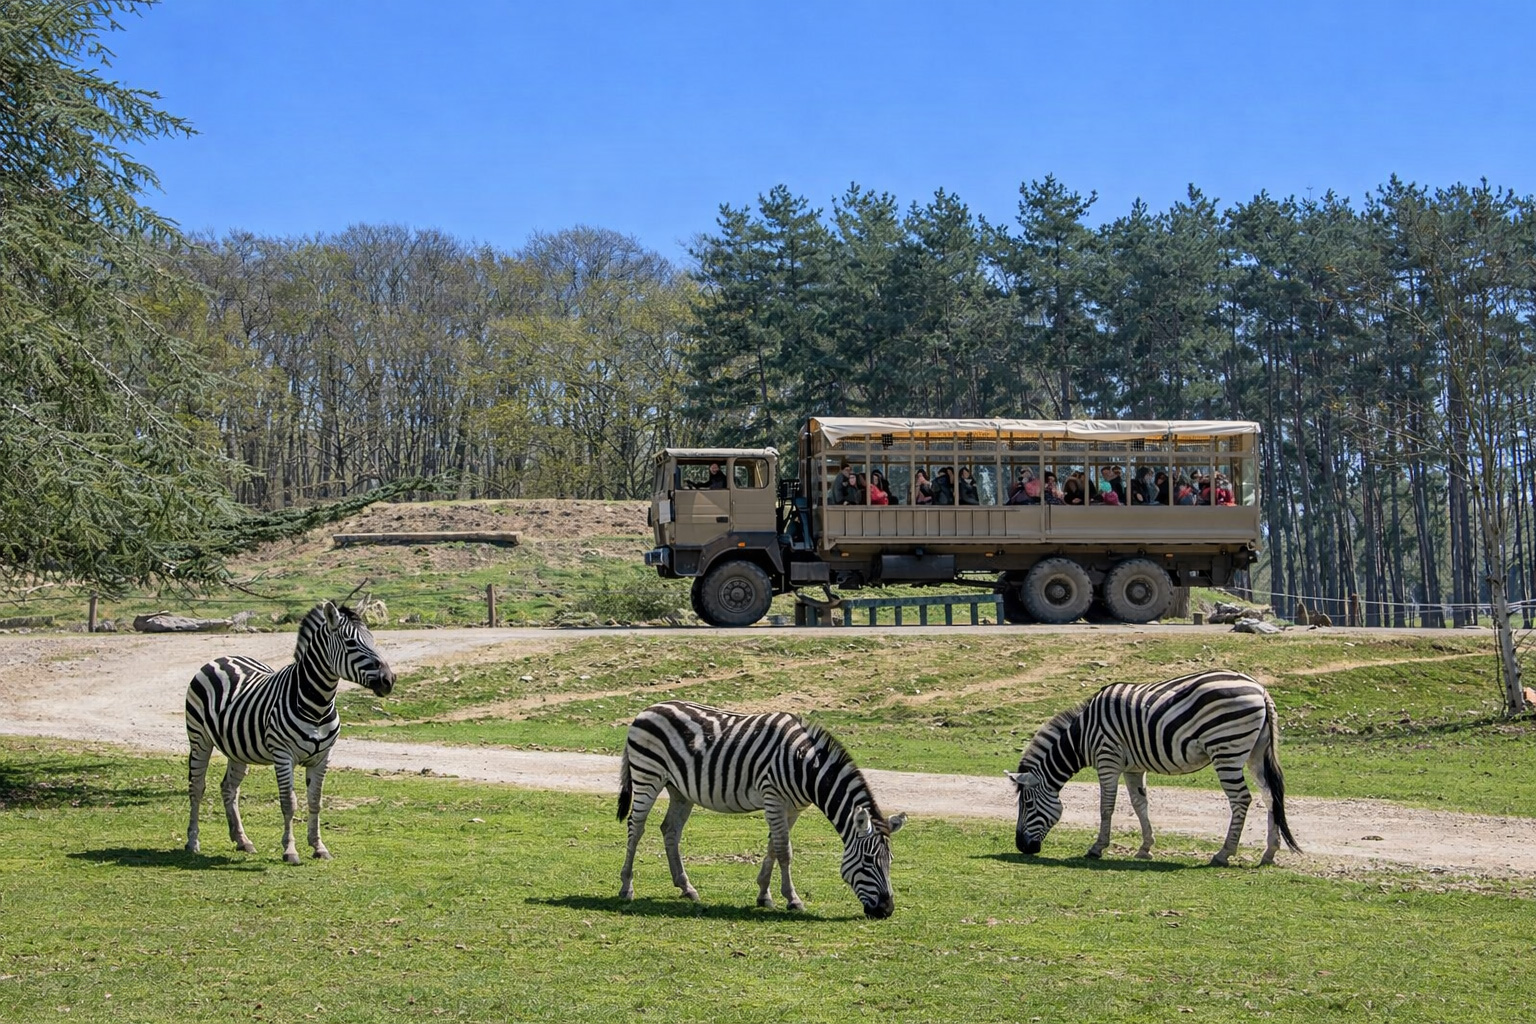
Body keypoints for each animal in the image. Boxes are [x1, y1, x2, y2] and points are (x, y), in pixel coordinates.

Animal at [184, 601, 395, 864]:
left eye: (373, 639)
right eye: (350, 643)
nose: (389, 680)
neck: (318, 705)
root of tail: (223, 658)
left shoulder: (323, 757)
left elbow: (315, 800)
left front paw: (319, 847)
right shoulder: (283, 755)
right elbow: (289, 803)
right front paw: (290, 850)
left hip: (238, 747)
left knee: (229, 788)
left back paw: (243, 840)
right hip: (199, 739)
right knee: (197, 787)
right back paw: (193, 842)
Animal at [617, 700, 907, 918]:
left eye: (890, 861)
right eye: (868, 860)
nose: (886, 910)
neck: (805, 765)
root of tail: (648, 709)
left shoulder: (792, 808)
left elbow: (773, 847)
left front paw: (764, 895)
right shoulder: (773, 797)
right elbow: (784, 850)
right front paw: (793, 899)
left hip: (679, 789)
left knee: (670, 830)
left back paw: (687, 888)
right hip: (647, 775)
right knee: (636, 826)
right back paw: (626, 887)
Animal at [1007, 669, 1300, 866]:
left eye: (1028, 804)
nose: (1022, 847)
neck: (1083, 735)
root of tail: (1261, 690)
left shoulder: (1107, 758)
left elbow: (1106, 806)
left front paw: (1097, 847)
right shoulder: (1132, 767)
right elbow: (1140, 804)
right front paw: (1145, 848)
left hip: (1226, 750)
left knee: (1241, 799)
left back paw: (1223, 853)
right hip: (1256, 752)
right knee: (1269, 797)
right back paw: (1269, 853)